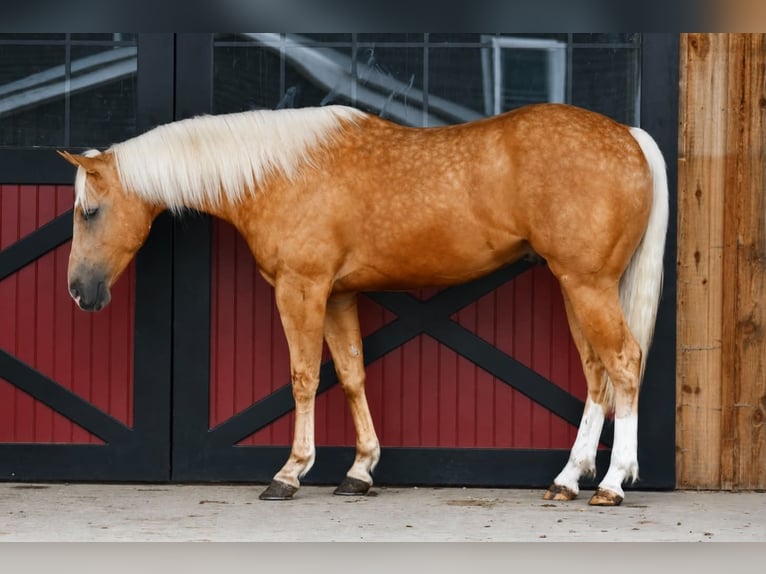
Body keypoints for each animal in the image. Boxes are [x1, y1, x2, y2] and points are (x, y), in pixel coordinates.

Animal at [58, 102, 668, 506]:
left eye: (89, 212)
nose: (79, 291)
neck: (281, 172)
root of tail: (630, 135)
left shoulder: (301, 289)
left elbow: (304, 377)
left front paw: (290, 473)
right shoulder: (338, 295)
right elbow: (352, 375)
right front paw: (360, 470)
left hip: (588, 284)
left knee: (624, 363)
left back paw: (611, 483)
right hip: (574, 286)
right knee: (596, 374)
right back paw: (567, 479)